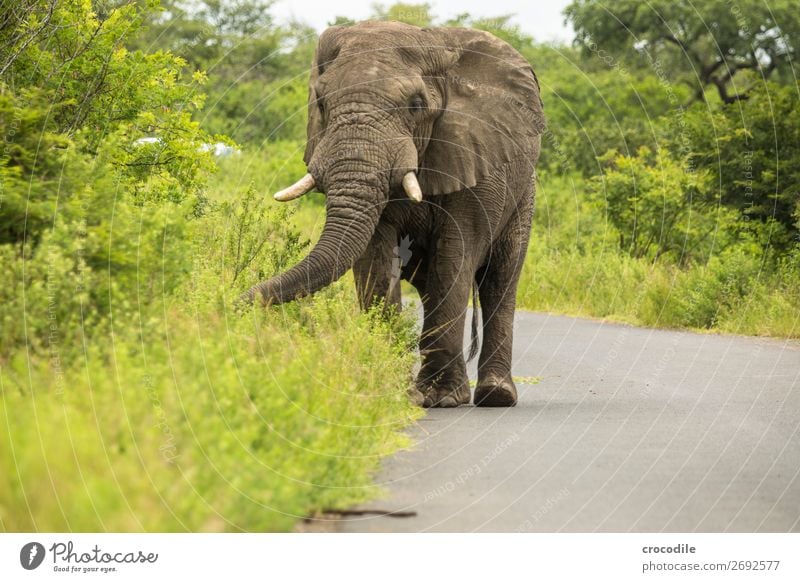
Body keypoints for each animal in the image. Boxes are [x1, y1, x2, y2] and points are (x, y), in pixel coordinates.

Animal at [242, 20, 544, 408]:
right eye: (321, 103)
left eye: (416, 104)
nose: (231, 301)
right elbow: (374, 256)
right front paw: (389, 387)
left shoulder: (473, 157)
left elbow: (456, 255)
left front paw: (441, 398)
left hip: (524, 193)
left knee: (499, 279)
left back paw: (496, 396)